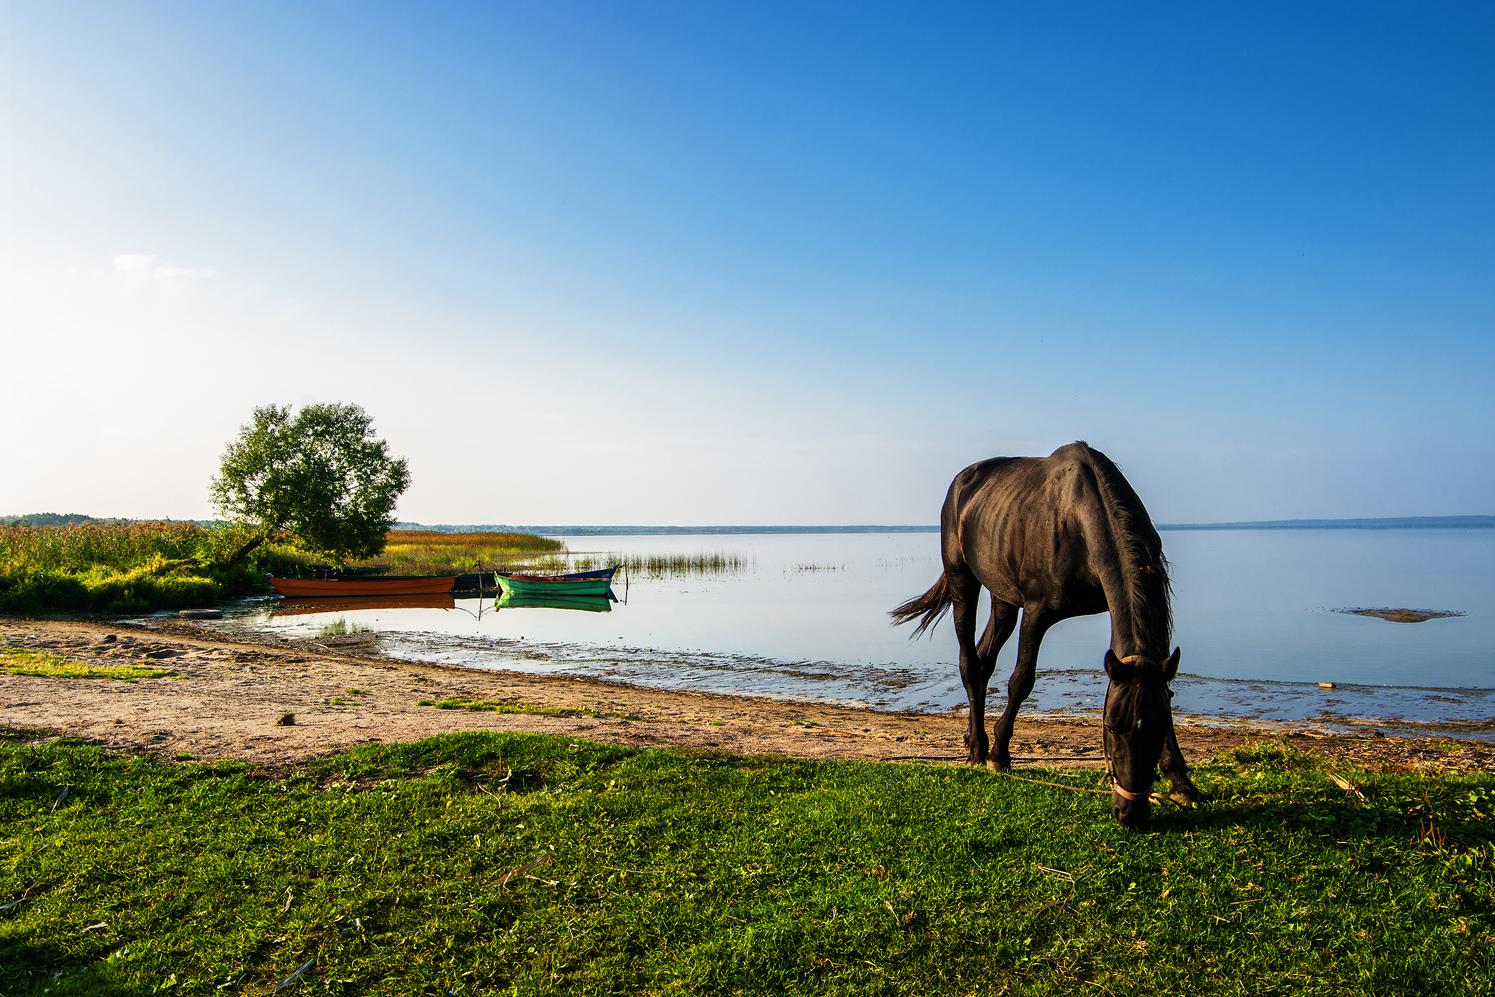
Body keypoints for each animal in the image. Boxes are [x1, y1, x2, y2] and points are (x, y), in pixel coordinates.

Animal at [885, 442, 1201, 825]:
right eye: (1111, 726)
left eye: (1154, 728)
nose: (1131, 813)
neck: (1081, 522)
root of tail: (962, 481)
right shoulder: (1038, 611)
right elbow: (1021, 680)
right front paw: (1000, 756)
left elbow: (1164, 692)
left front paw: (1181, 781)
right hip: (963, 580)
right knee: (969, 662)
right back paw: (978, 749)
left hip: (1003, 596)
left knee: (984, 660)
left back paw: (973, 739)